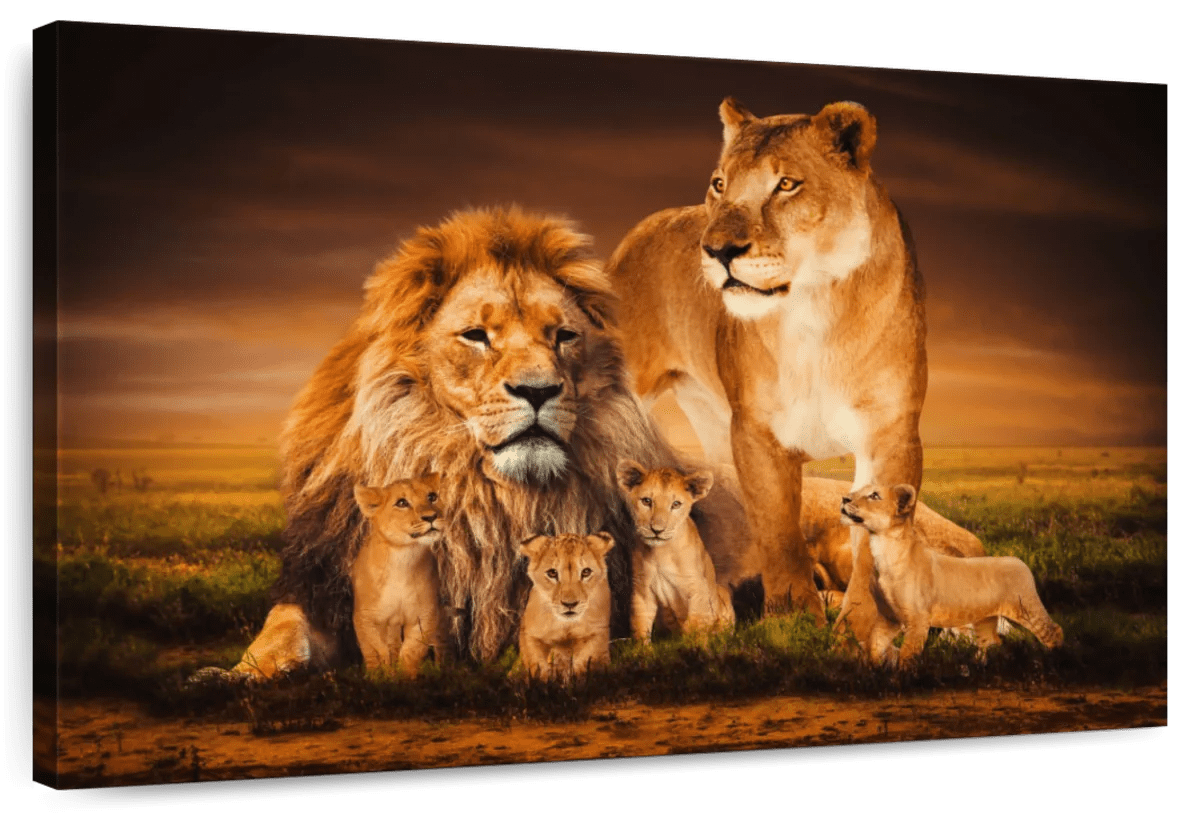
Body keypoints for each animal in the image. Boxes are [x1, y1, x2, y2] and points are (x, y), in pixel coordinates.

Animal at [350, 475, 448, 675]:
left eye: (432, 497)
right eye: (402, 503)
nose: (431, 517)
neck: (403, 558)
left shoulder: (426, 615)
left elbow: (412, 650)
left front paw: (405, 676)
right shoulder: (365, 618)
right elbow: (376, 651)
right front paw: (384, 675)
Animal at [517, 533, 615, 680]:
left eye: (586, 572)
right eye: (552, 573)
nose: (570, 604)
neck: (566, 624)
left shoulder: (598, 631)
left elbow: (587, 658)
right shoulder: (529, 633)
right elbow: (537, 661)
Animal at [616, 460, 735, 640]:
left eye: (676, 504)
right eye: (646, 501)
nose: (657, 530)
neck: (660, 553)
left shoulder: (698, 587)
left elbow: (694, 625)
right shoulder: (642, 590)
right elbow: (640, 625)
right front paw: (642, 647)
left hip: (721, 592)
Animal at [840, 484, 1063, 667]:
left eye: (874, 495)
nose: (844, 499)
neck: (883, 547)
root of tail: (1019, 561)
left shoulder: (918, 620)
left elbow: (908, 654)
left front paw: (902, 680)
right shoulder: (889, 617)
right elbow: (874, 645)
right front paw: (874, 671)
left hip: (1026, 609)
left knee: (1053, 631)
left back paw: (1051, 661)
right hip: (985, 619)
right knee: (991, 640)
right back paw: (977, 666)